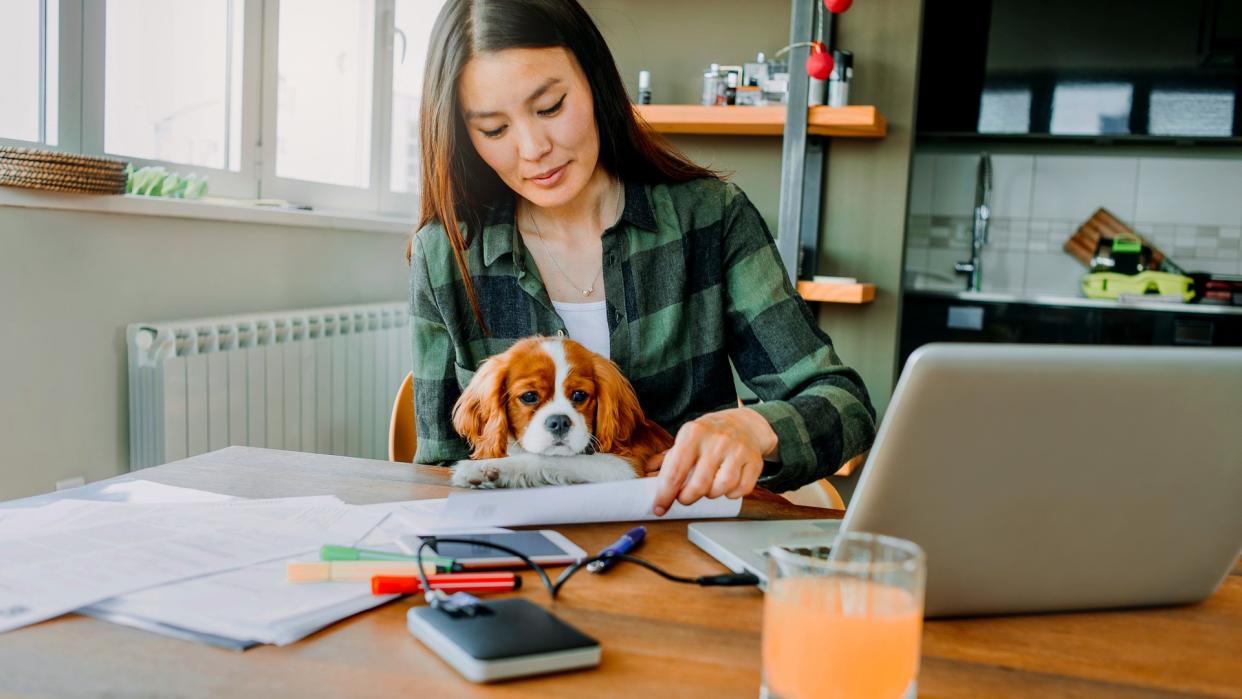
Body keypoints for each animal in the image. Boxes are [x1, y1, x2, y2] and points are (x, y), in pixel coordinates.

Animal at [452, 335, 675, 489]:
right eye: (529, 396)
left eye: (579, 395)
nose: (559, 422)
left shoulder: (626, 466)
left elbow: (547, 458)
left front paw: (485, 468)